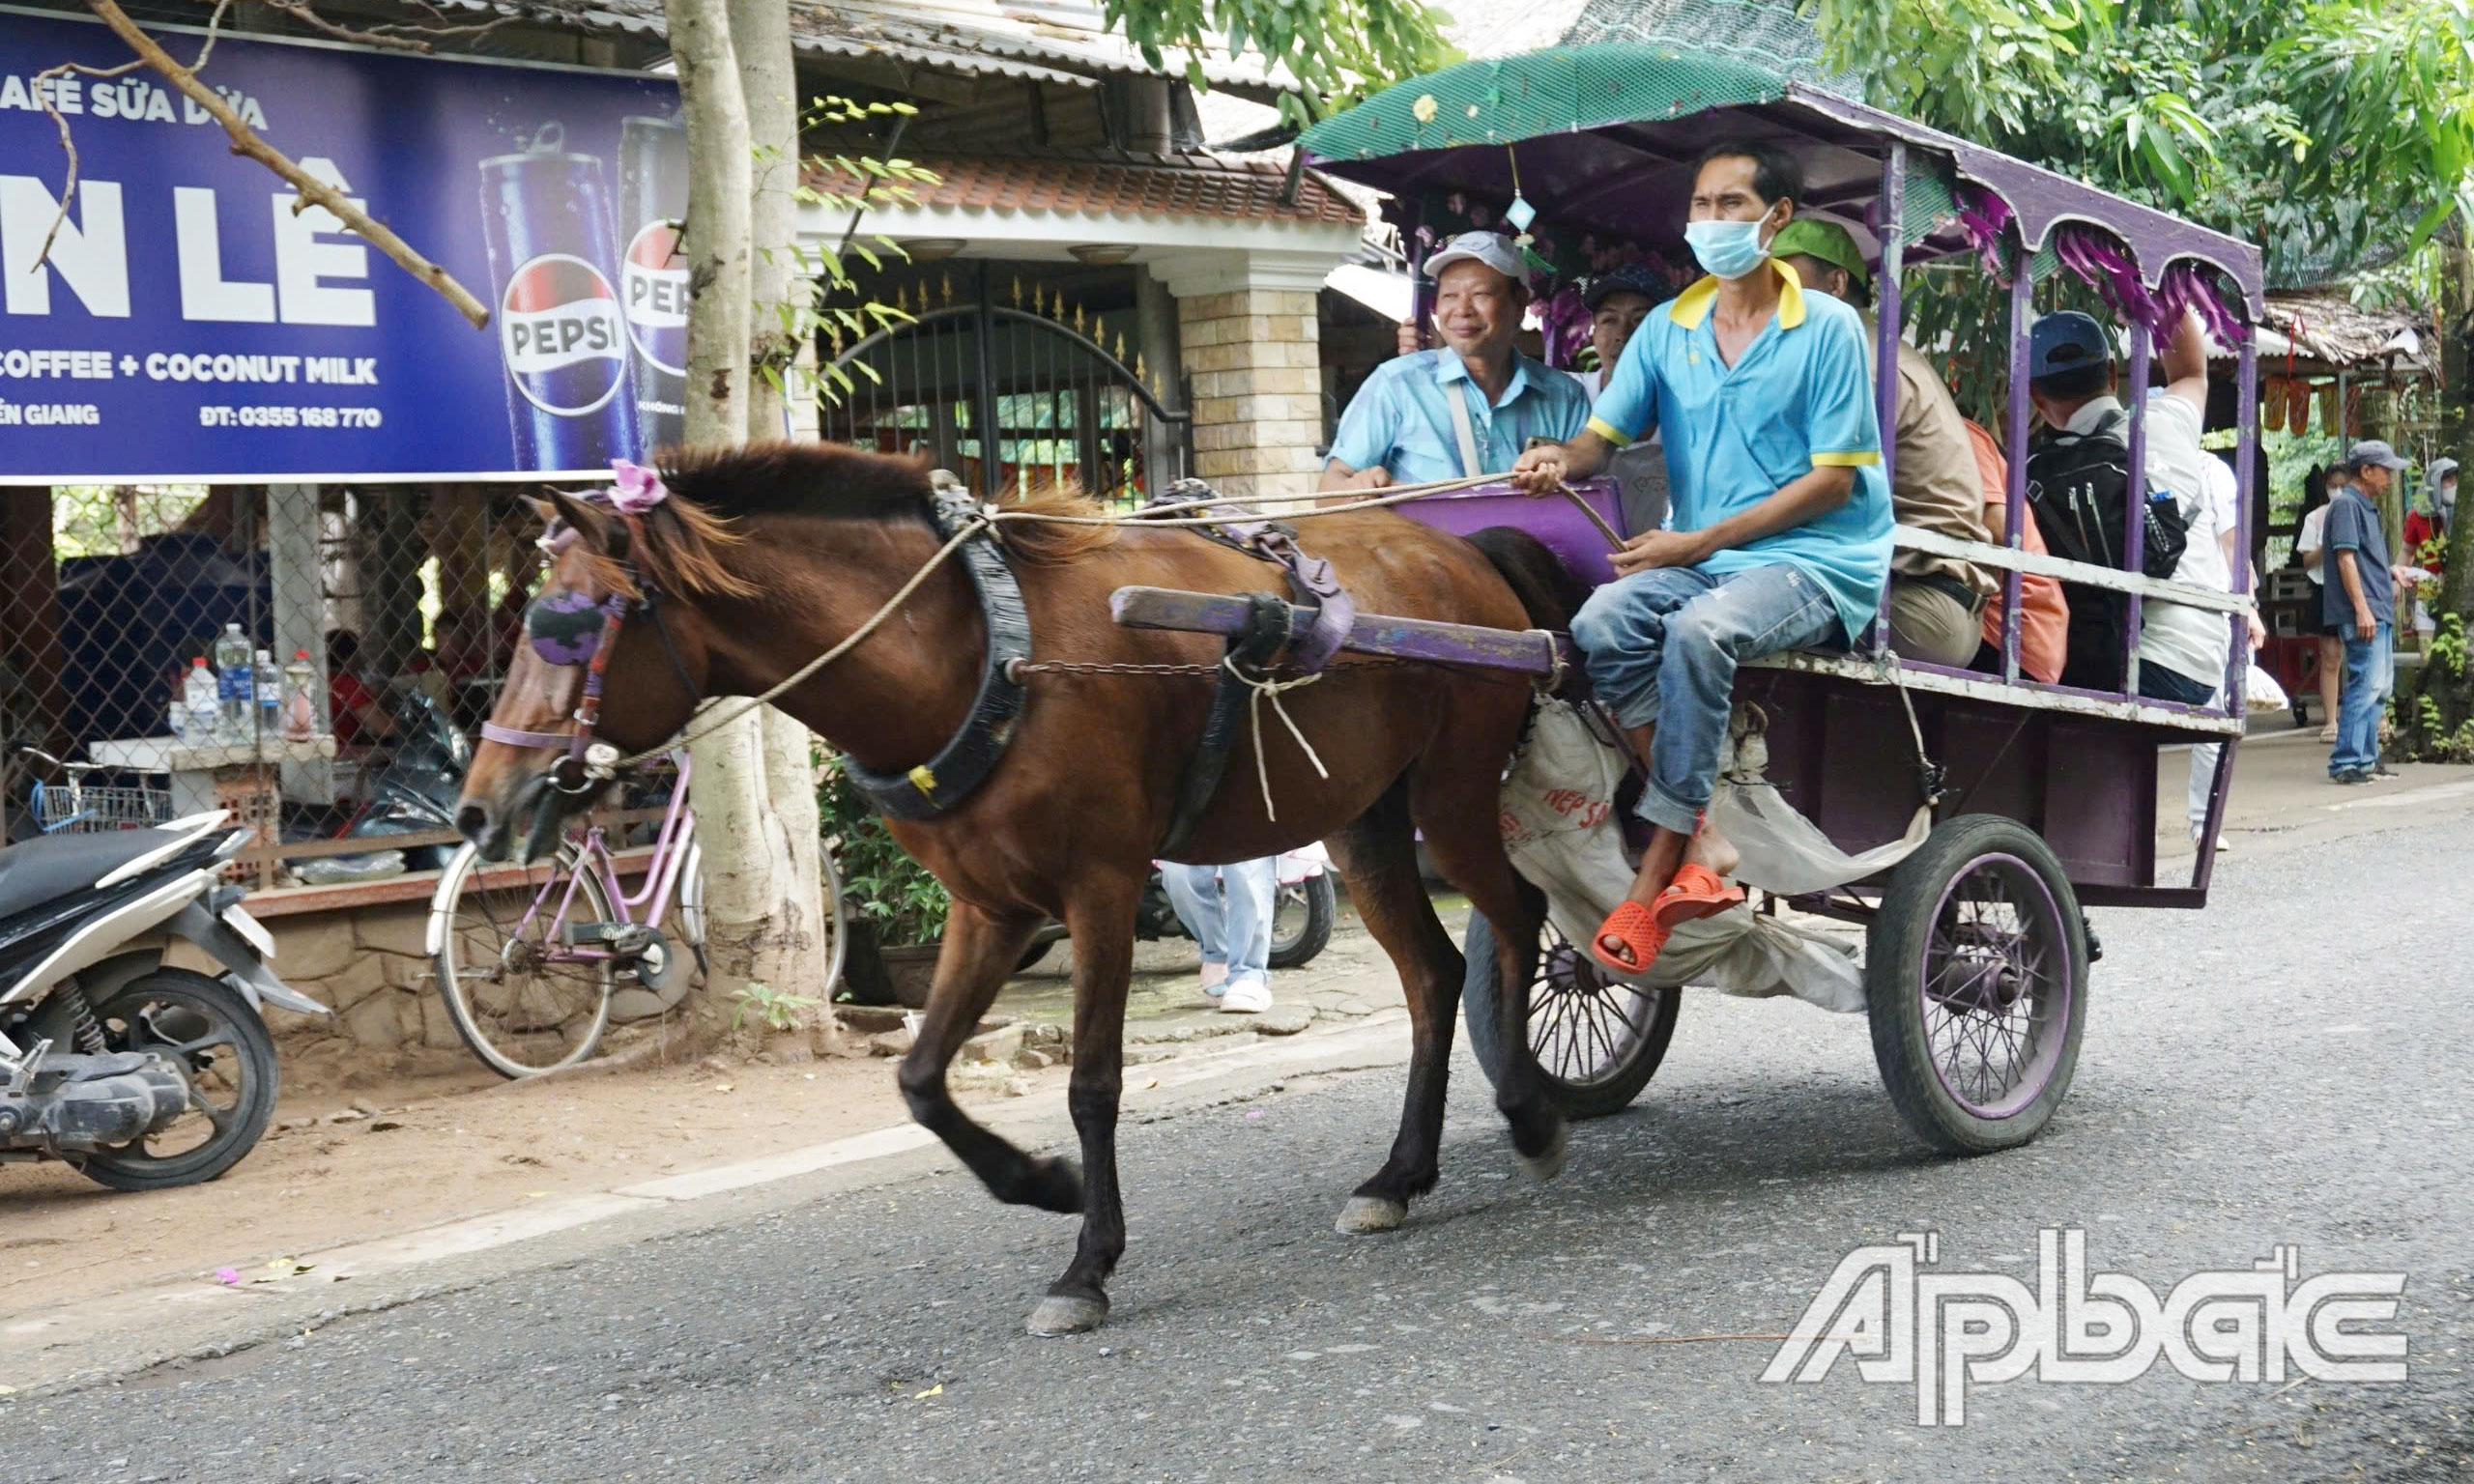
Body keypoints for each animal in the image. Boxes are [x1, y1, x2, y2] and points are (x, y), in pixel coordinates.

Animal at [460, 440, 1563, 1335]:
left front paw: (1087, 1266)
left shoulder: (1101, 887)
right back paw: (1400, 1174)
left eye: (565, 628)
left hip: (1451, 799)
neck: (983, 652)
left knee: (1518, 919)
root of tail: (1464, 553)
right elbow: (918, 1080)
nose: (478, 809)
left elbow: (1093, 1082)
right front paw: (1041, 1185)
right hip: (1364, 820)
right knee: (1433, 975)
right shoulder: (989, 905)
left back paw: (1529, 1110)